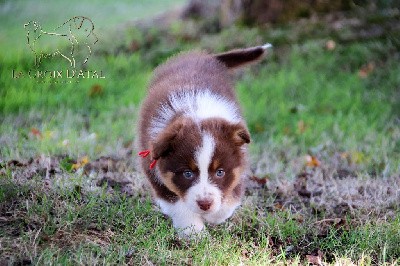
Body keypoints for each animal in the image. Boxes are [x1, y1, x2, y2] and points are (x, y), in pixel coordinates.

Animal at [138, 43, 272, 237]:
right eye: (187, 173)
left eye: (220, 172)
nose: (205, 204)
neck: (195, 110)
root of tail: (201, 55)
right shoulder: (154, 168)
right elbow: (177, 204)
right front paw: (194, 233)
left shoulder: (239, 165)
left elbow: (230, 198)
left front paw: (214, 215)